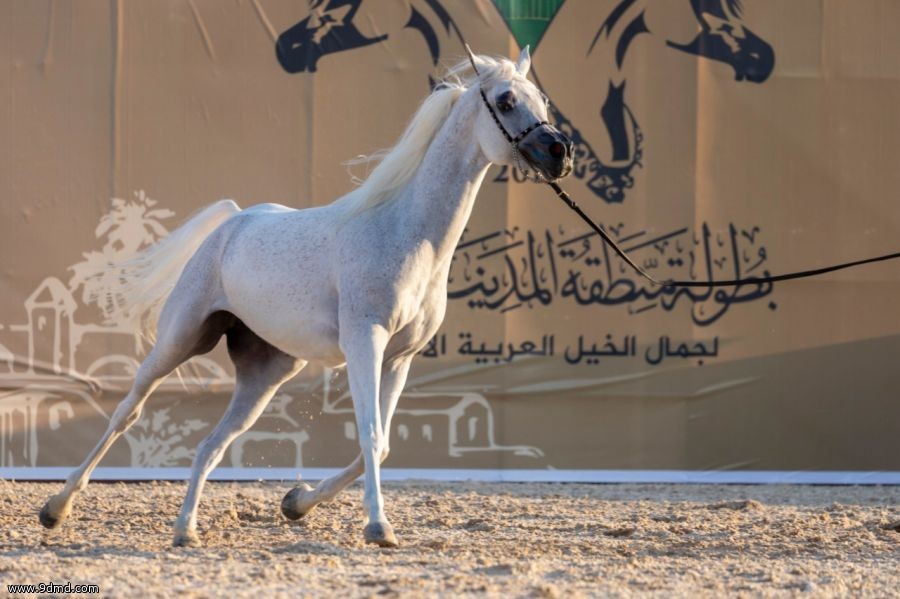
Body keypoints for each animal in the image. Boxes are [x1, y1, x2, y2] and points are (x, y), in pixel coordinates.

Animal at [38, 49, 572, 552]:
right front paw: (378, 528)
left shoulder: (399, 359)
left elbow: (378, 447)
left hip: (265, 375)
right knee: (127, 412)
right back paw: (56, 509)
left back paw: (185, 531)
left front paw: (296, 502)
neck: (405, 233)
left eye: (543, 101)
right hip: (178, 341)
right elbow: (371, 435)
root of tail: (234, 222)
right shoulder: (364, 343)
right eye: (507, 99)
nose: (560, 152)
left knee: (210, 445)